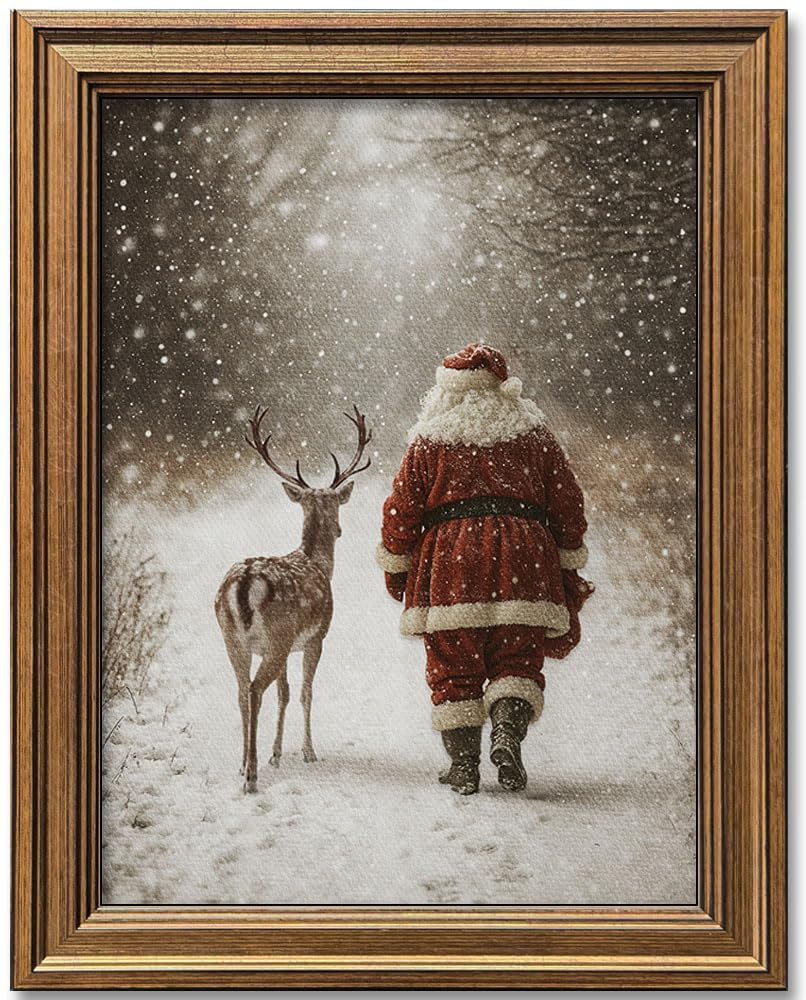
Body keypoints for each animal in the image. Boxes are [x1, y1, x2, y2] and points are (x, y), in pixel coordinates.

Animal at [215, 404, 372, 793]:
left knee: (241, 692)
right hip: (277, 637)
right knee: (255, 690)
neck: (317, 562)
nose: (340, 529)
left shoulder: (288, 648)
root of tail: (243, 584)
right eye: (335, 505)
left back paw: (243, 764)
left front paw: (276, 753)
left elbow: (284, 693)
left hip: (235, 640)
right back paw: (251, 777)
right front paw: (307, 752)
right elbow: (305, 692)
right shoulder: (315, 638)